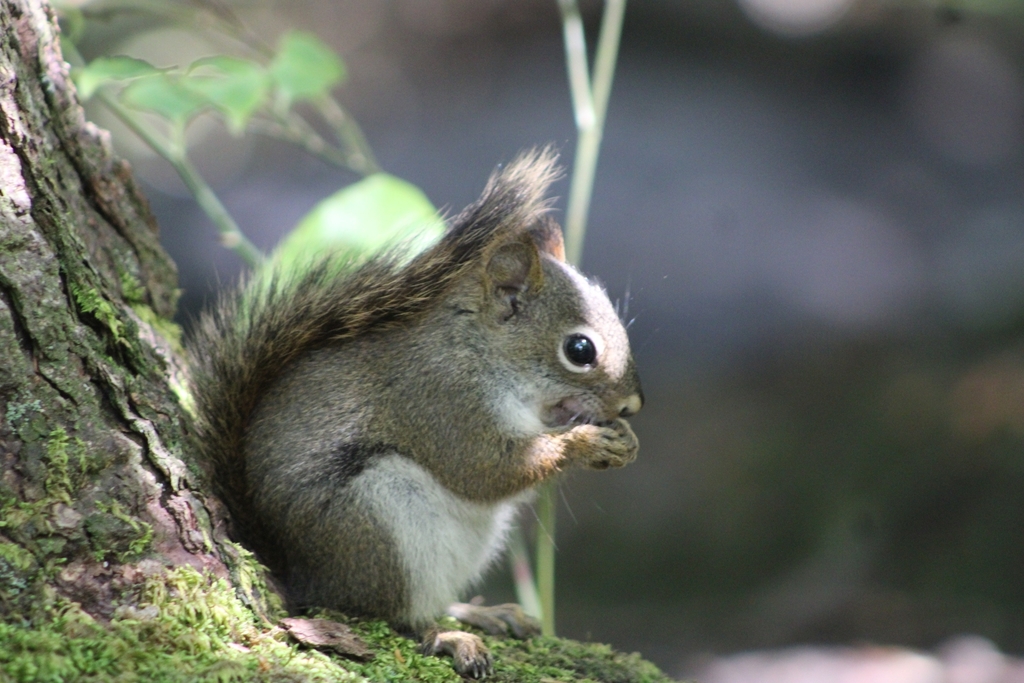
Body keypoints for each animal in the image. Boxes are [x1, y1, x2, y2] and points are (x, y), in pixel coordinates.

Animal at [188, 149, 643, 678]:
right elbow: (485, 470)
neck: (481, 352)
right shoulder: (440, 400)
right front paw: (585, 443)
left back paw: (484, 613)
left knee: (435, 600)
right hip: (377, 523)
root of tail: (302, 576)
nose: (634, 404)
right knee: (396, 615)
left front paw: (625, 440)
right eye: (580, 349)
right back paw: (448, 637)